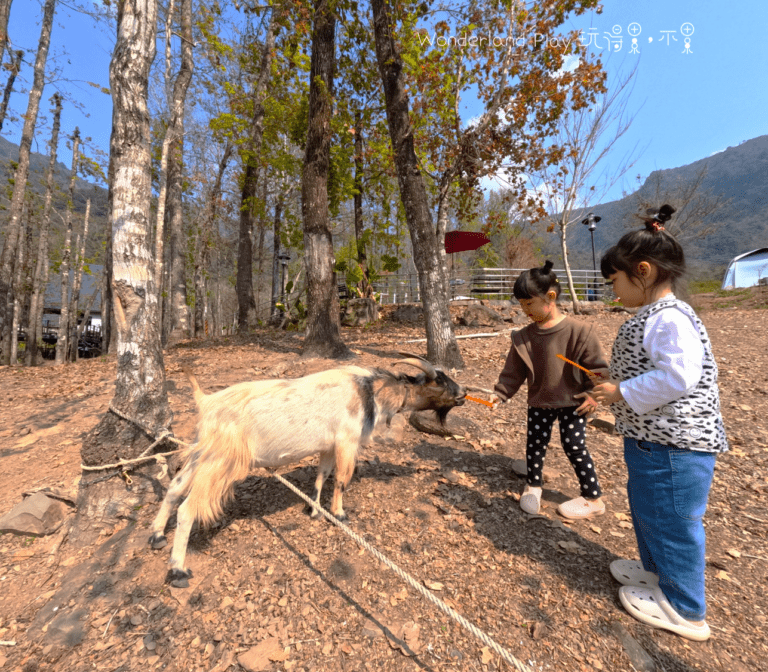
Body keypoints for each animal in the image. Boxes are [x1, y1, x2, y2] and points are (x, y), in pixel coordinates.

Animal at [147, 354, 464, 584]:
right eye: (439, 381)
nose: (463, 393)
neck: (369, 392)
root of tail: (206, 401)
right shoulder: (347, 441)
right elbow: (342, 479)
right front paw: (339, 514)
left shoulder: (328, 446)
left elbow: (322, 475)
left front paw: (314, 509)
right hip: (221, 461)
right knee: (188, 508)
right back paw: (178, 570)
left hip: (203, 452)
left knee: (175, 488)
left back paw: (157, 535)